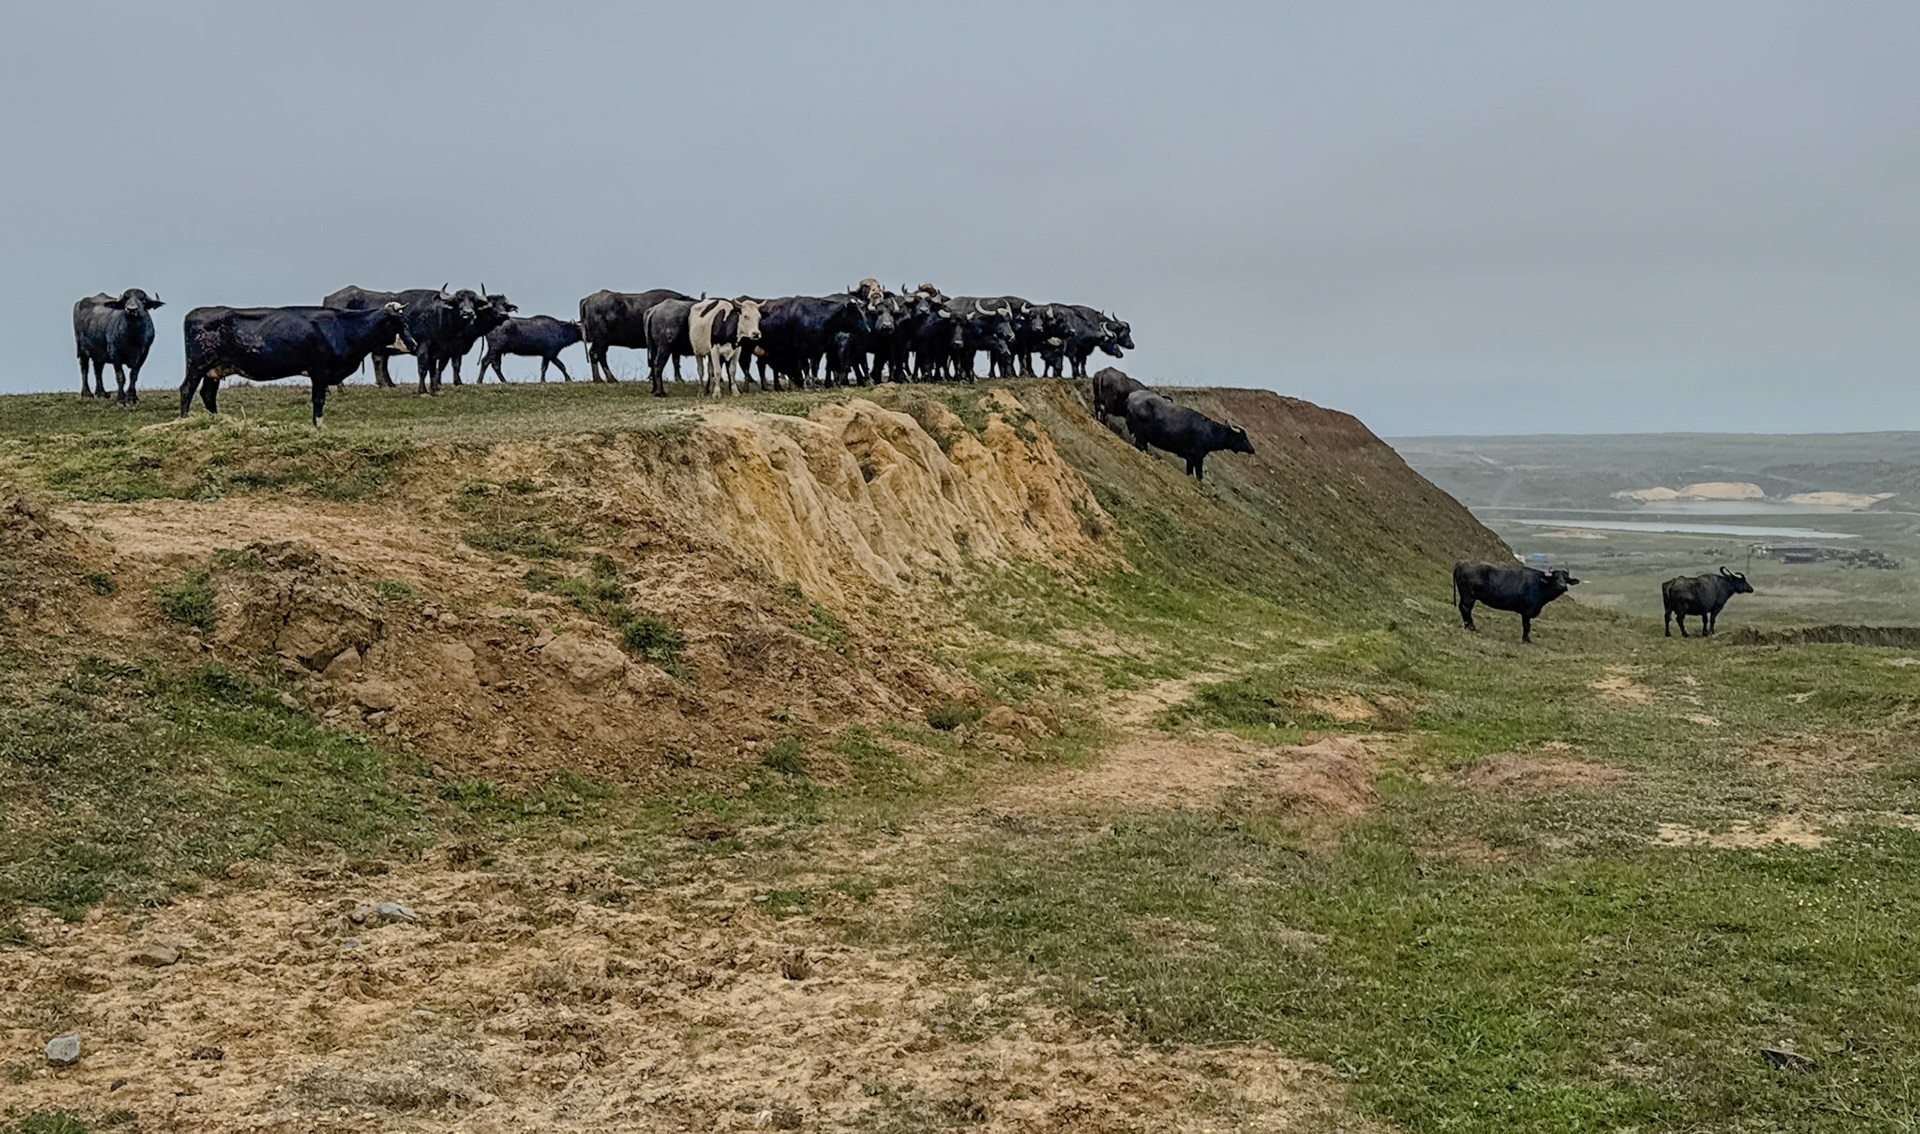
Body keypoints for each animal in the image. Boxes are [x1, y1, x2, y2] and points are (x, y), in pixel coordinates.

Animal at [1122, 390, 1254, 481]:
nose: (1252, 449)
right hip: (1140, 435)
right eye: (1243, 438)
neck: (1210, 432)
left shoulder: (1196, 458)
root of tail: (1131, 396)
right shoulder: (1194, 458)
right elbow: (1196, 474)